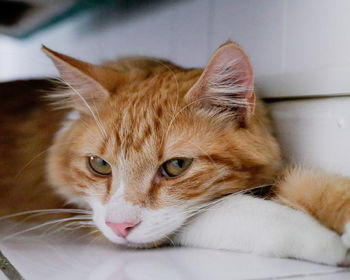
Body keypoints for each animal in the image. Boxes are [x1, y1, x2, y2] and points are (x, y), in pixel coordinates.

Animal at [0, 41, 350, 264]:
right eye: (99, 165)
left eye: (177, 166)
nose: (120, 227)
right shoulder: (90, 216)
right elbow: (237, 213)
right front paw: (324, 241)